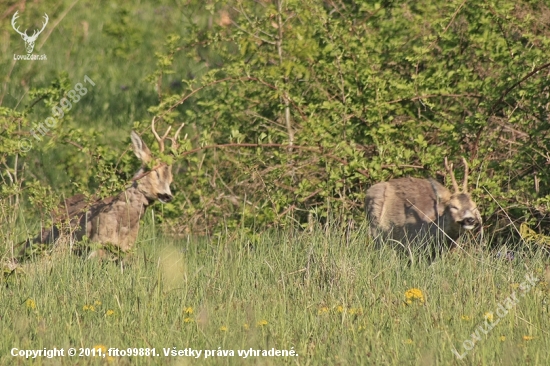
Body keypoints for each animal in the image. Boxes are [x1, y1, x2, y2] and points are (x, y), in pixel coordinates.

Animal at [24, 118, 185, 258]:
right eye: (154, 171)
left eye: (171, 177)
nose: (167, 195)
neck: (124, 222)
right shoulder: (98, 242)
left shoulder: (127, 248)